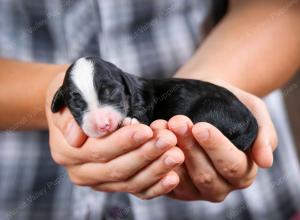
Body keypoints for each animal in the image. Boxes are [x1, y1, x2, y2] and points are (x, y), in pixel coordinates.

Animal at [51, 56, 258, 151]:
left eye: (111, 91)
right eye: (76, 104)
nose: (103, 125)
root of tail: (251, 120)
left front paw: (131, 120)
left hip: (211, 108)